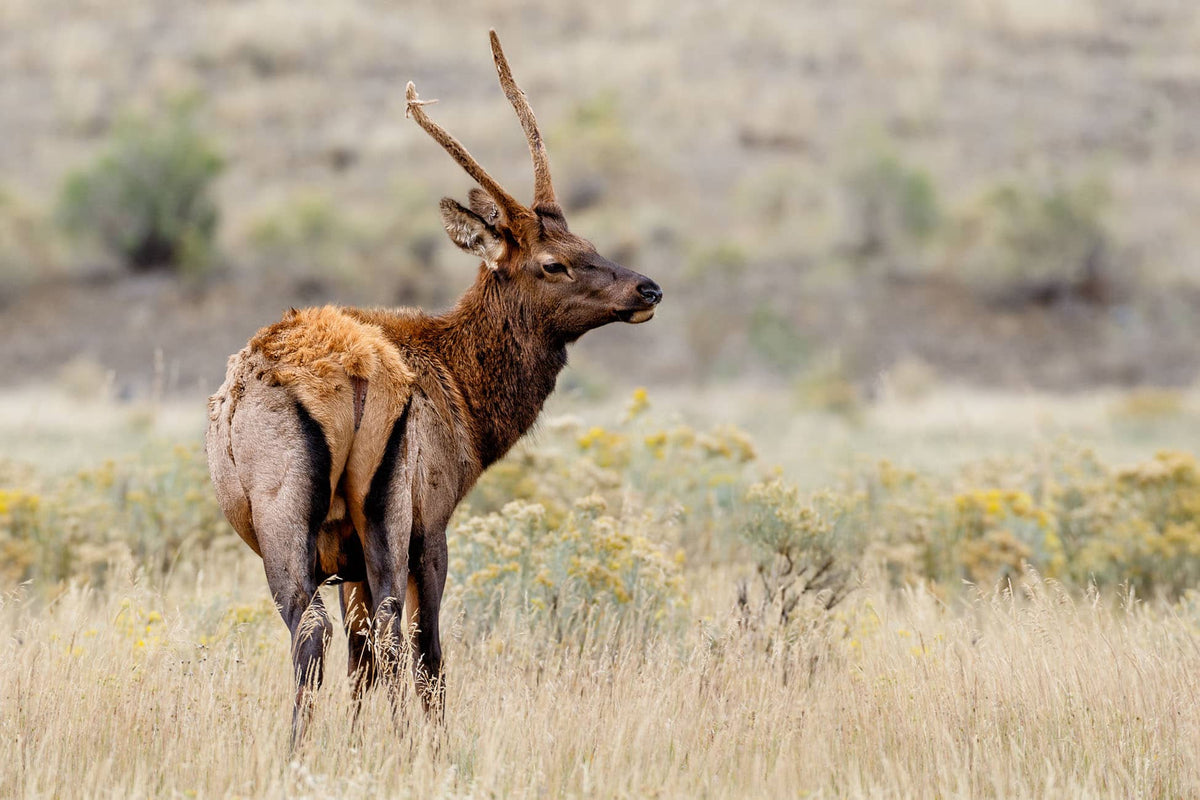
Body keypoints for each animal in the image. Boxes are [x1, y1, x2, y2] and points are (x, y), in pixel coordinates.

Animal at [202, 31, 662, 743]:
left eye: (586, 240)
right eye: (553, 263)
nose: (647, 288)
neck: (472, 413)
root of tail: (354, 374)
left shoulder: (389, 533)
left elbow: (379, 652)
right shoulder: (413, 524)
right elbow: (400, 654)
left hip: (331, 514)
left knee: (352, 633)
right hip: (366, 511)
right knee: (378, 633)